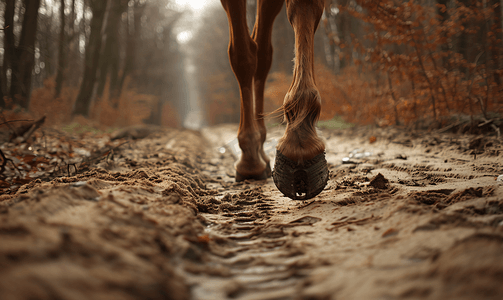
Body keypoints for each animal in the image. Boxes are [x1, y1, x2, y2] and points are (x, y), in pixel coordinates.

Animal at [222, 0, 328, 202]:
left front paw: (301, 137)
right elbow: (242, 54)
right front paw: (249, 162)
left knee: (262, 55)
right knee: (256, 53)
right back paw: (255, 155)